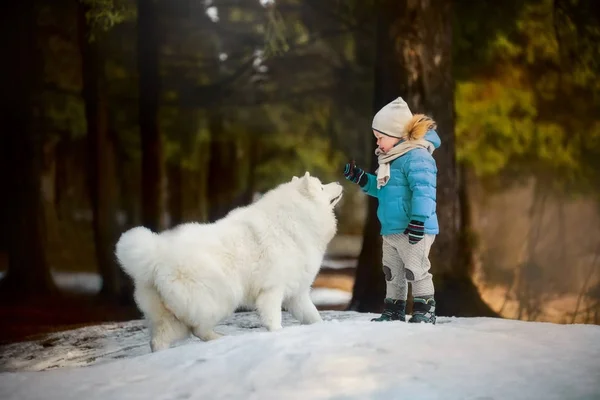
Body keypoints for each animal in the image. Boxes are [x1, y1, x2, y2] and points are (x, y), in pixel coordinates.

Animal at [116, 171, 342, 350]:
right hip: (221, 299)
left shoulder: (297, 294)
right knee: (199, 329)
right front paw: (278, 334)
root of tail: (155, 257)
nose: (340, 182)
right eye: (322, 187)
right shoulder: (272, 290)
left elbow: (313, 316)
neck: (293, 222)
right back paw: (220, 338)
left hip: (169, 317)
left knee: (160, 340)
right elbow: (273, 318)